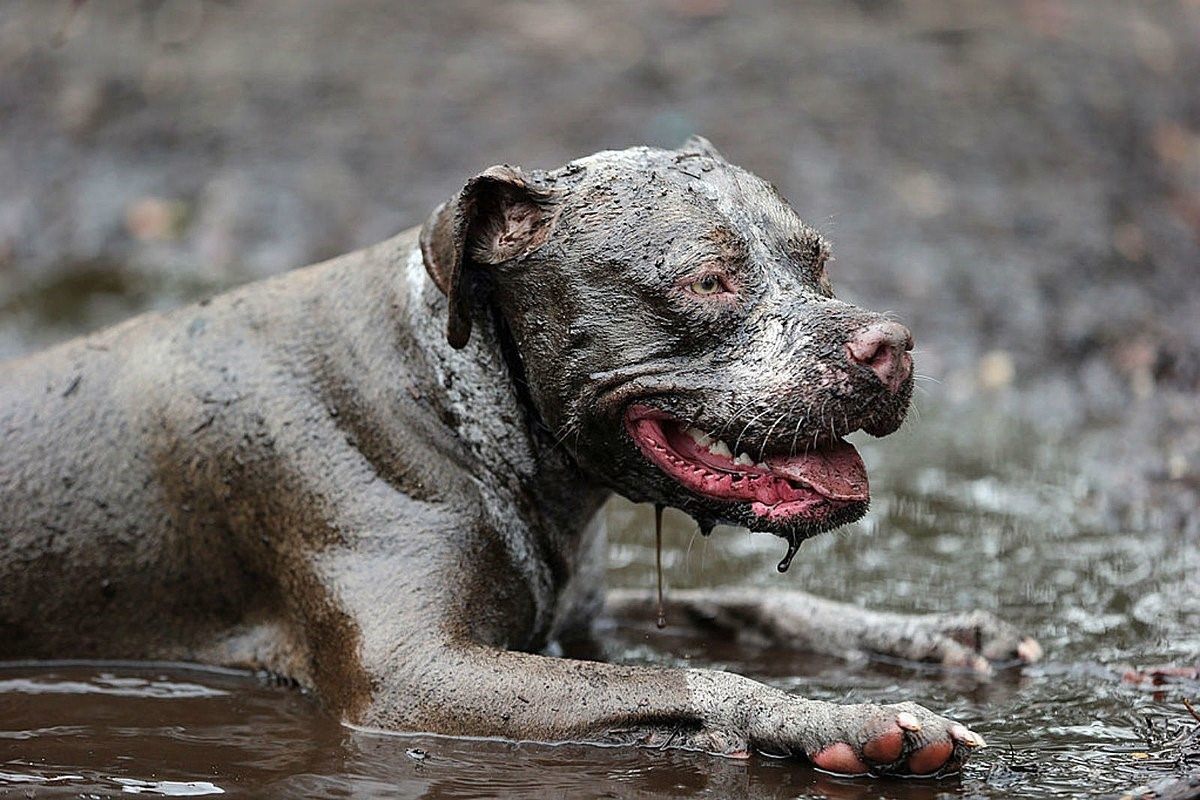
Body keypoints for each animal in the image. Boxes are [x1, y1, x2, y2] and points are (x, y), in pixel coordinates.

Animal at [0, 137, 1036, 777]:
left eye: (818, 263)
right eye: (709, 280)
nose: (892, 344)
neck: (455, 397)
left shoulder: (570, 618)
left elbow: (750, 602)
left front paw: (928, 635)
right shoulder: (415, 680)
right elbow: (682, 680)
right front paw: (840, 718)